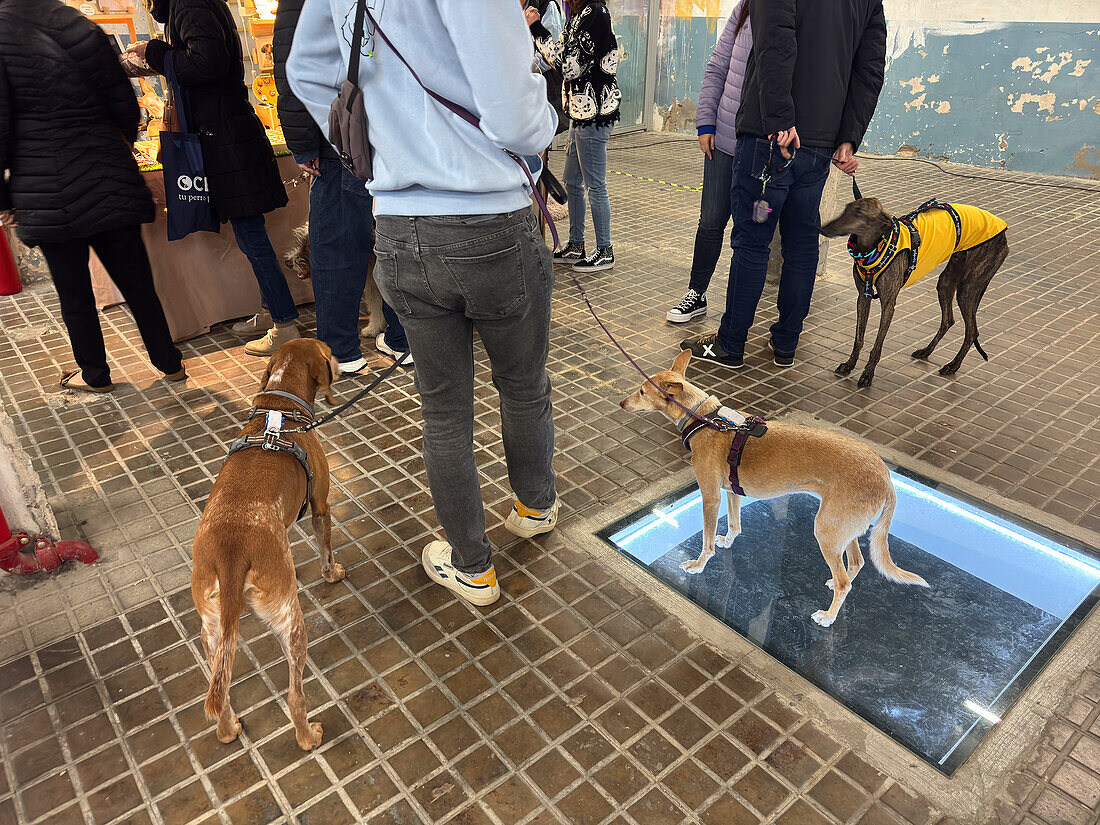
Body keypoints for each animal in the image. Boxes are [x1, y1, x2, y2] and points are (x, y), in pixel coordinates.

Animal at [620, 349, 928, 624]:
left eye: (642, 392)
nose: (622, 403)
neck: (704, 419)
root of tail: (885, 476)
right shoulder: (731, 492)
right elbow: (734, 524)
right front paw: (728, 541)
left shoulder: (710, 497)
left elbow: (706, 540)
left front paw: (699, 564)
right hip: (843, 529)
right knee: (856, 563)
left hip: (826, 531)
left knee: (845, 582)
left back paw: (828, 616)